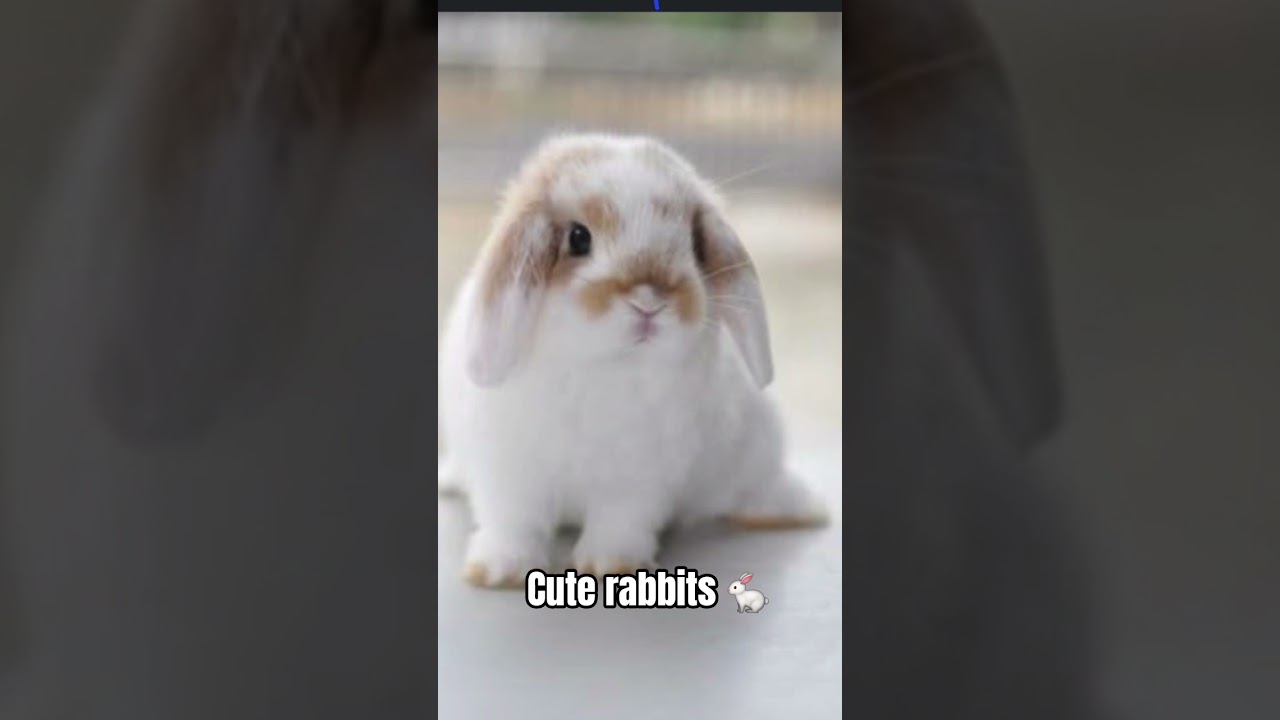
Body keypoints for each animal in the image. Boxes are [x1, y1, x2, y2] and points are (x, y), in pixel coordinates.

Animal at [437, 133, 828, 588]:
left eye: (693, 242)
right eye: (578, 237)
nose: (649, 301)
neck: (605, 367)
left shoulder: (639, 480)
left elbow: (619, 522)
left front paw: (611, 566)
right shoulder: (507, 473)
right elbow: (513, 523)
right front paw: (498, 572)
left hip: (757, 450)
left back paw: (798, 509)